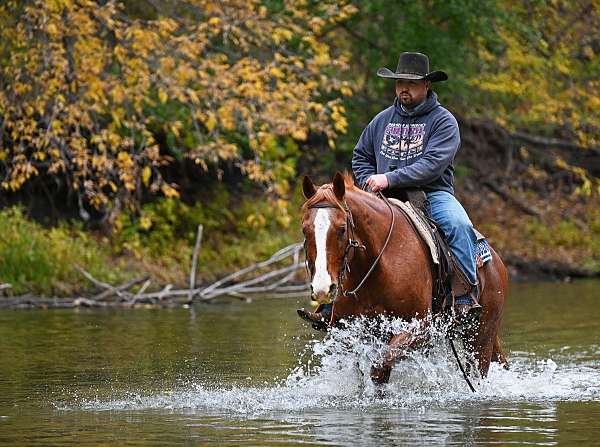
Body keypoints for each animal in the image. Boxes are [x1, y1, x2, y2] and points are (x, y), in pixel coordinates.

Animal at [302, 172, 508, 384]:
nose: (323, 289)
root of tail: (495, 261)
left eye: (342, 228)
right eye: (304, 229)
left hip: (481, 336)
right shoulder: (357, 330)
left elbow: (380, 367)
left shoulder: (420, 327)